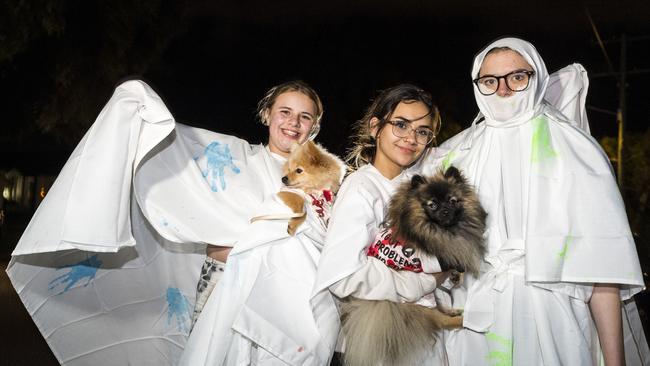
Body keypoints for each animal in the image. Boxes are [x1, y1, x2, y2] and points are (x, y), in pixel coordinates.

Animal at [342, 166, 484, 366]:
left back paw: (453, 311)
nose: (445, 210)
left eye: (452, 201)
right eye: (432, 205)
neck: (441, 230)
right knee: (441, 321)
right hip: (419, 304)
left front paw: (457, 275)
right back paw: (462, 320)